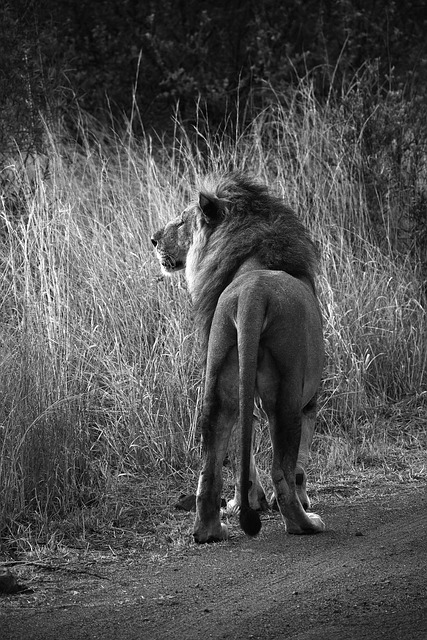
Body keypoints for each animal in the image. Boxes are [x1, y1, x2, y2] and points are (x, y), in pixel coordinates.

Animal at [152, 172, 326, 544]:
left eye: (182, 221)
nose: (154, 239)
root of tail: (252, 292)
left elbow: (239, 454)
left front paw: (243, 502)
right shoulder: (310, 399)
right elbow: (300, 463)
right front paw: (291, 499)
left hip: (218, 382)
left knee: (211, 465)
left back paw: (209, 530)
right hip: (287, 395)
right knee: (282, 470)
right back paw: (304, 522)